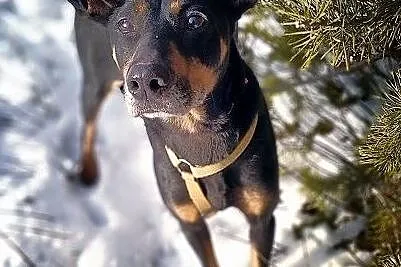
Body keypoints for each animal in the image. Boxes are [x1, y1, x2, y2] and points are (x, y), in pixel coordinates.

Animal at [66, 1, 278, 266]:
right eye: (124, 24)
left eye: (195, 20)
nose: (144, 82)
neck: (196, 131)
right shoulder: (188, 220)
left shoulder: (262, 217)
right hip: (94, 82)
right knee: (88, 125)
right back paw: (87, 171)